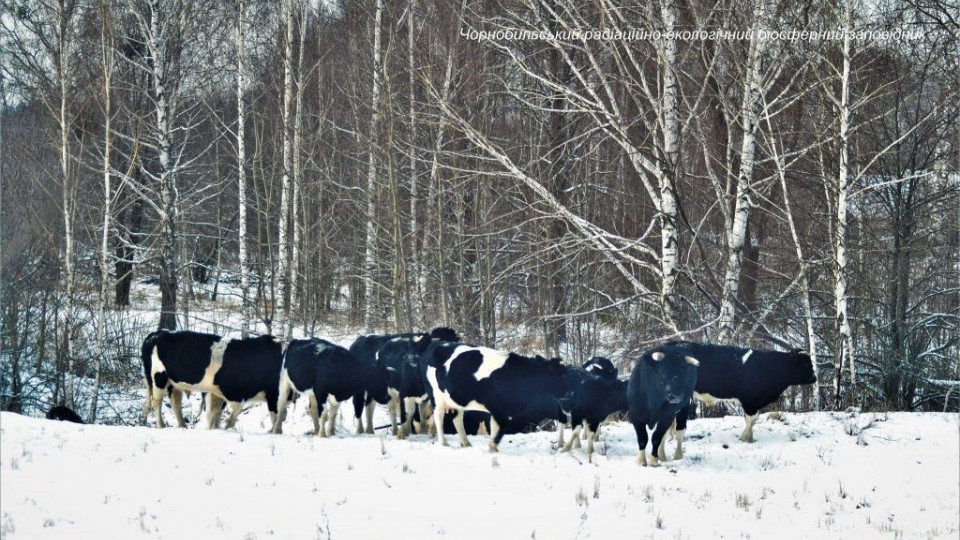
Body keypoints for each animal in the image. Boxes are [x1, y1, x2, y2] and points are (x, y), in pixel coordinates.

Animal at [141, 330, 284, 430]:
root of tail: (158, 333)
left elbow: (217, 413)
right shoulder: (232, 391)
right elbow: (230, 410)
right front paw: (225, 426)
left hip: (174, 383)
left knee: (175, 402)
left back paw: (182, 426)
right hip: (158, 377)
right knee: (157, 401)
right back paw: (161, 426)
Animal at [426, 346, 568, 452]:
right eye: (562, 375)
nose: (568, 391)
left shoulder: (501, 409)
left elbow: (494, 426)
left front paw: (493, 447)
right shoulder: (496, 406)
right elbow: (501, 425)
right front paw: (491, 447)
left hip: (456, 400)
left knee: (457, 419)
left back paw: (466, 443)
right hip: (437, 397)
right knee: (438, 417)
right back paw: (444, 443)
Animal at [668, 342, 816, 442]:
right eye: (806, 364)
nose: (814, 378)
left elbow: (751, 419)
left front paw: (749, 438)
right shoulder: (749, 400)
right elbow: (752, 419)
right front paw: (745, 438)